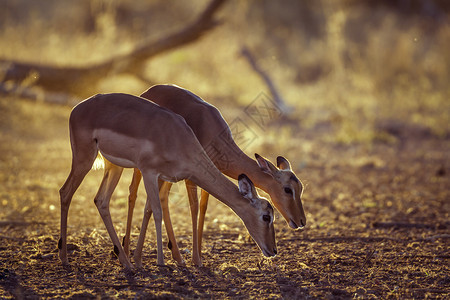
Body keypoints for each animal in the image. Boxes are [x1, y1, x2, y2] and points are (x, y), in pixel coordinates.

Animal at [58, 93, 276, 270]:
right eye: (266, 216)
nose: (273, 250)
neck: (178, 138)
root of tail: (77, 108)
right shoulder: (149, 172)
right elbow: (157, 211)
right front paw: (161, 262)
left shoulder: (163, 177)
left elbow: (150, 209)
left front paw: (140, 260)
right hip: (84, 159)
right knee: (65, 192)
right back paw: (65, 258)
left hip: (113, 167)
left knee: (101, 200)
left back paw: (126, 263)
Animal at [123, 84, 306, 264]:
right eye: (287, 189)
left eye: (301, 188)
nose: (301, 221)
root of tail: (147, 91)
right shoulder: (193, 174)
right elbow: (195, 207)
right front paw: (196, 260)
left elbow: (203, 207)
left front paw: (199, 254)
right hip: (142, 168)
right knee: (133, 192)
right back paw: (125, 251)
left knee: (162, 198)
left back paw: (175, 255)